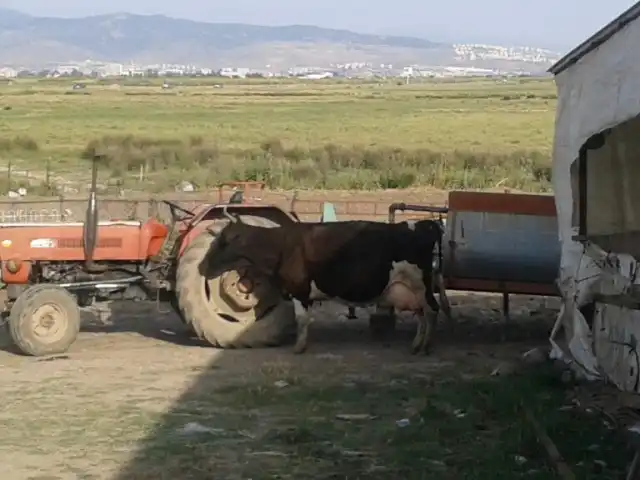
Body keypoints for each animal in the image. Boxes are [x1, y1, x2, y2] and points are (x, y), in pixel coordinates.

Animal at [208, 208, 448, 354]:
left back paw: (425, 347)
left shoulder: (299, 291)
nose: (205, 266)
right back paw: (416, 345)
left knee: (432, 311)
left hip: (420, 283)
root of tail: (425, 225)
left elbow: (302, 319)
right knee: (422, 314)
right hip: (410, 289)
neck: (282, 244)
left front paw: (299, 347)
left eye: (222, 240)